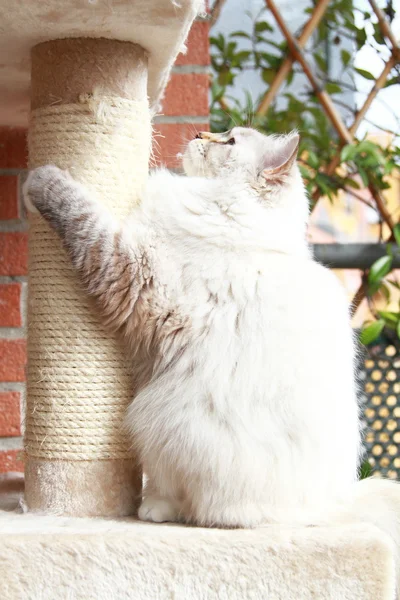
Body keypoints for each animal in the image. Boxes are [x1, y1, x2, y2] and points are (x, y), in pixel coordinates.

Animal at [25, 126, 362, 524]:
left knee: (193, 504)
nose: (201, 132)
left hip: (157, 419)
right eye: (224, 132)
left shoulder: (128, 266)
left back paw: (152, 509)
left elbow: (79, 212)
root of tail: (313, 513)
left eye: (230, 141)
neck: (231, 214)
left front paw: (38, 178)